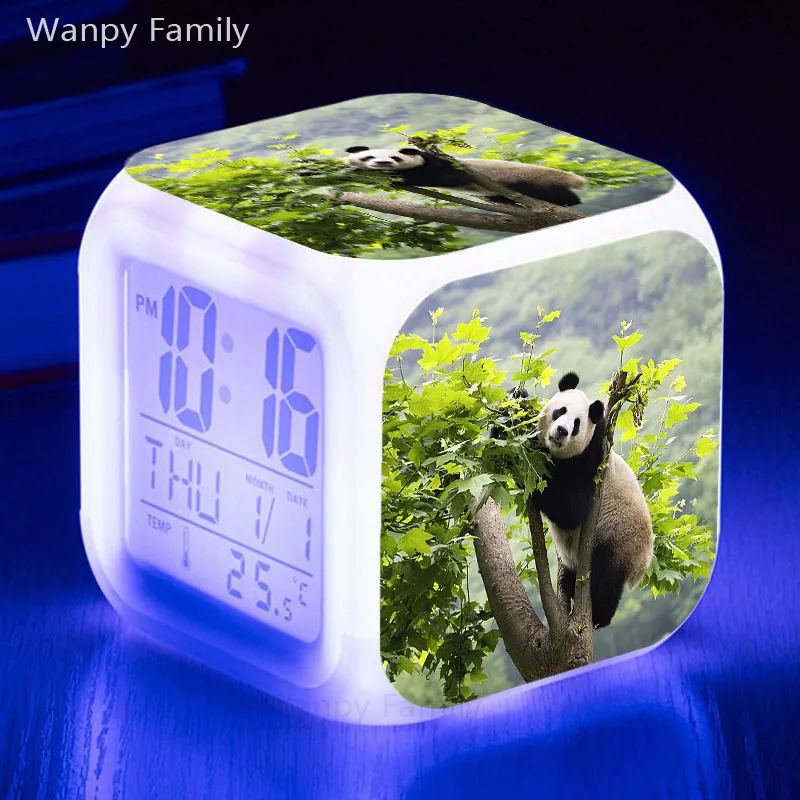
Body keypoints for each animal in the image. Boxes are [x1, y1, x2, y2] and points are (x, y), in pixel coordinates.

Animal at [343, 146, 587, 207]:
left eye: (395, 157)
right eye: (368, 156)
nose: (382, 163)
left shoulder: (437, 164)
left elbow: (451, 177)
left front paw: (399, 179)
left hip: (533, 181)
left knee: (557, 194)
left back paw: (568, 201)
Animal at [534, 372, 654, 628]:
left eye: (577, 425)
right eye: (561, 411)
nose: (561, 431)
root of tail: (642, 564)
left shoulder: (591, 459)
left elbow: (570, 509)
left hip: (619, 537)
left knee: (606, 579)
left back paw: (599, 615)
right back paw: (569, 585)